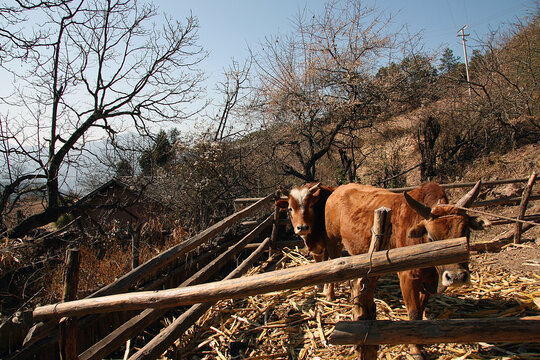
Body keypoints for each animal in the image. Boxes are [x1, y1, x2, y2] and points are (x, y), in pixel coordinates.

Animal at [324, 181, 490, 358]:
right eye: (431, 237)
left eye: (466, 232)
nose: (456, 277)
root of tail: (337, 190)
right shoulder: (407, 277)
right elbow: (414, 312)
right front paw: (415, 349)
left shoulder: (427, 281)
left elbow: (421, 308)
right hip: (333, 241)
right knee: (333, 263)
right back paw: (330, 295)